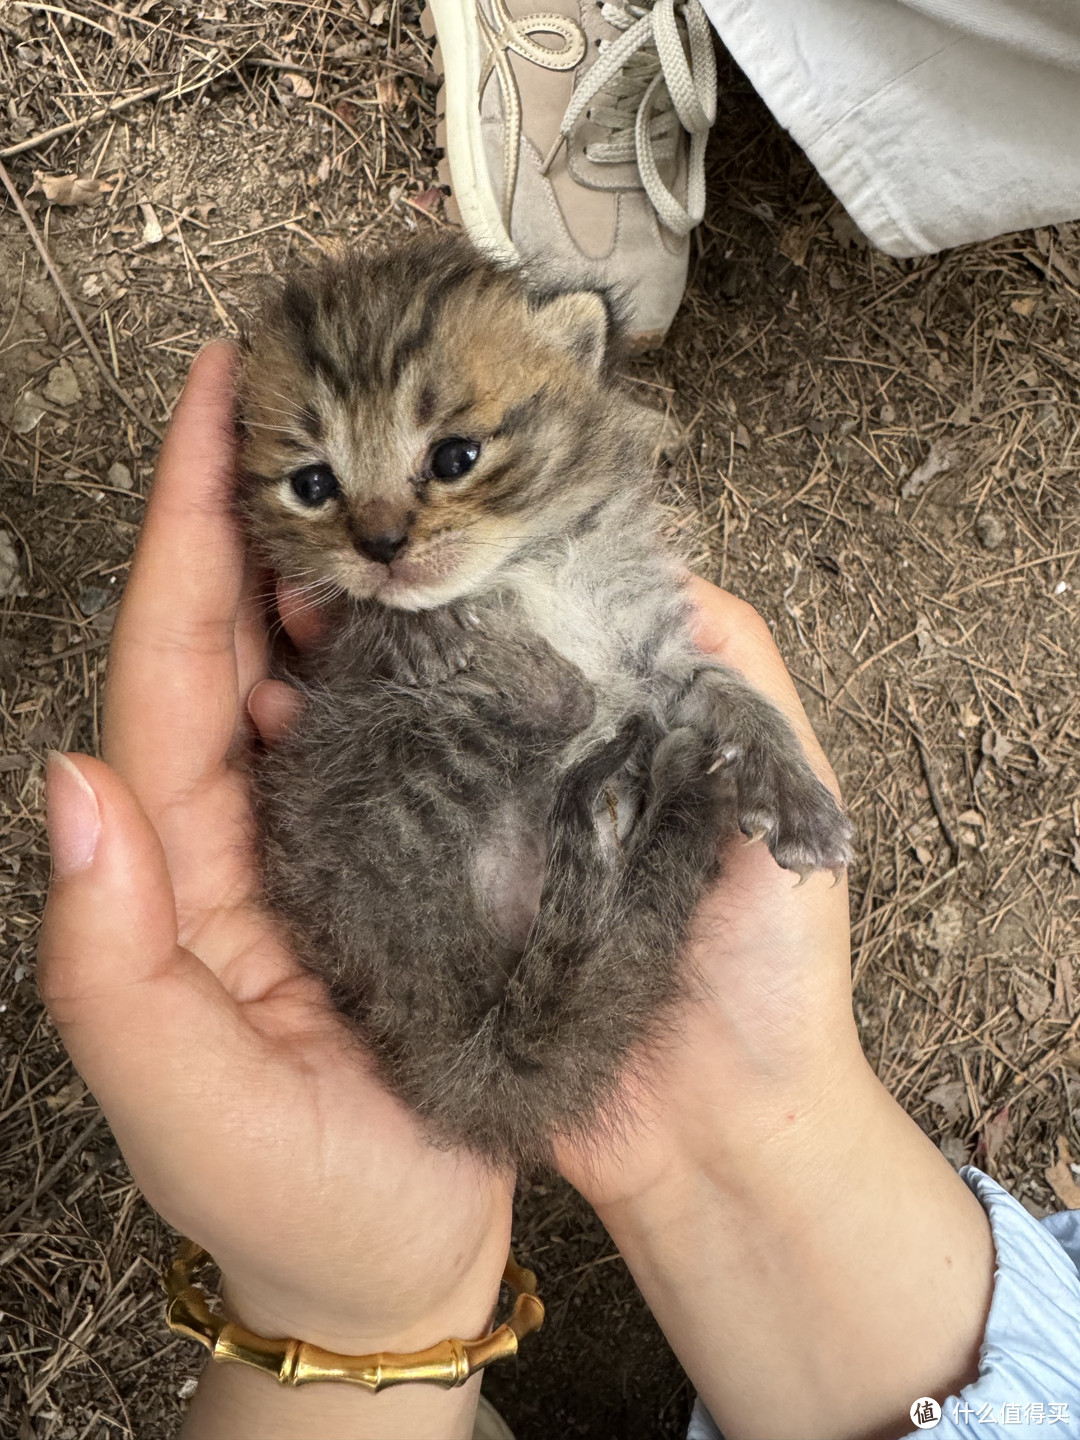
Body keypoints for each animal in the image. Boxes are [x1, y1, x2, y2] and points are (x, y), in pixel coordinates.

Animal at [239, 239, 852, 1169]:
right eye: (313, 484)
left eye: (455, 458)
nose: (380, 544)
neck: (532, 563)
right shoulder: (361, 664)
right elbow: (383, 618)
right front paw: (422, 621)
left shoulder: (650, 647)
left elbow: (726, 691)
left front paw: (792, 788)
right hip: (385, 760)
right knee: (560, 707)